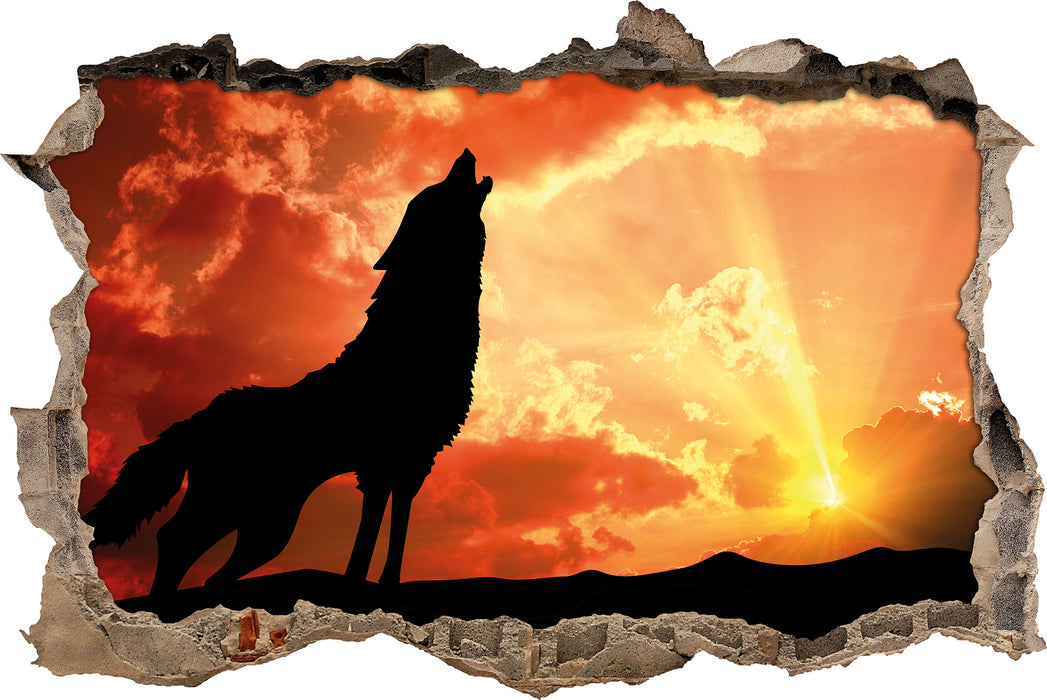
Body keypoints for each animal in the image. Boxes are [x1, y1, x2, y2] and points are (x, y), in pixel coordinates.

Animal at [83, 149, 493, 595]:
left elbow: (395, 525)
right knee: (175, 541)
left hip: (264, 525)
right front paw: (356, 587)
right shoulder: (381, 462)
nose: (466, 153)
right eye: (438, 189)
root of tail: (196, 418)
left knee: (201, 565)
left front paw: (386, 586)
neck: (419, 335)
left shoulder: (414, 459)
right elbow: (369, 532)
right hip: (241, 510)